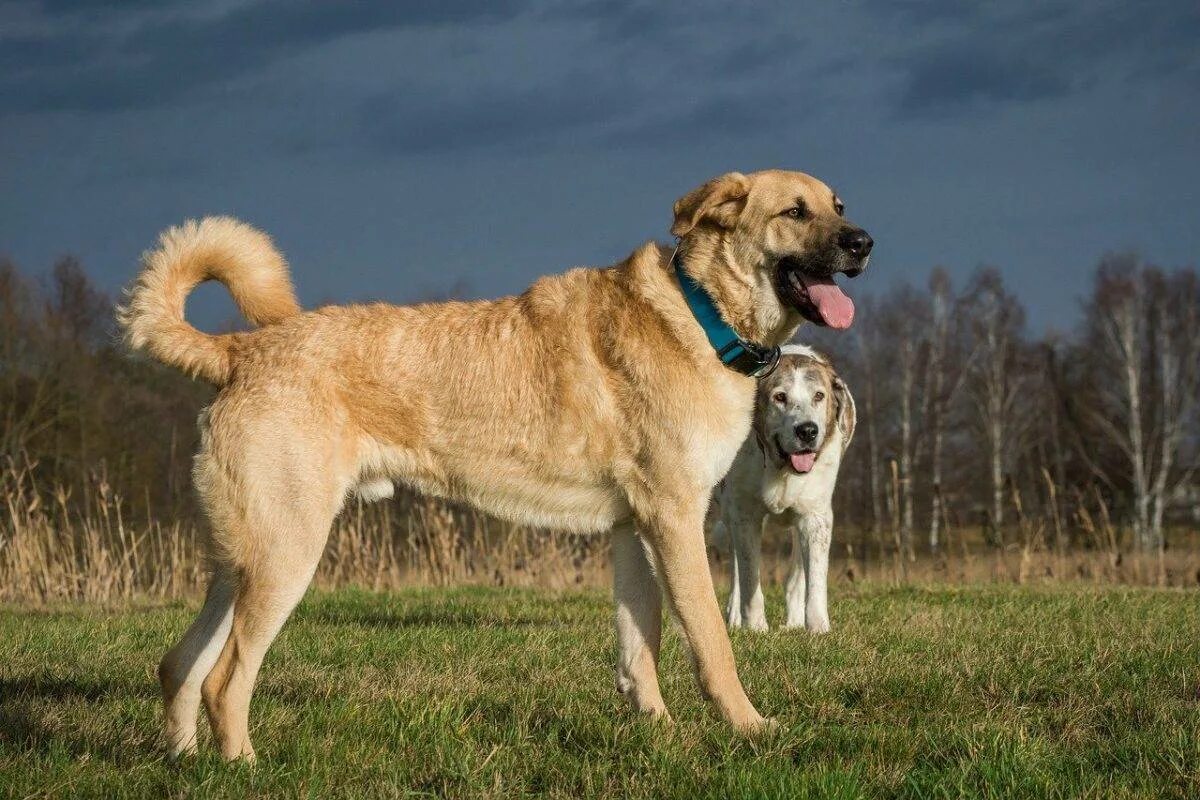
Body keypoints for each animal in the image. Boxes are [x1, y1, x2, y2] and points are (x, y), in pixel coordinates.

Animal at [710, 345, 854, 633]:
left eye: (819, 396)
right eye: (780, 397)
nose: (807, 430)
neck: (782, 470)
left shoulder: (816, 517)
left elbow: (815, 579)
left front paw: (818, 628)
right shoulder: (744, 515)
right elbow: (749, 577)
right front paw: (755, 627)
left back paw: (795, 622)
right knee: (736, 568)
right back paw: (735, 616)